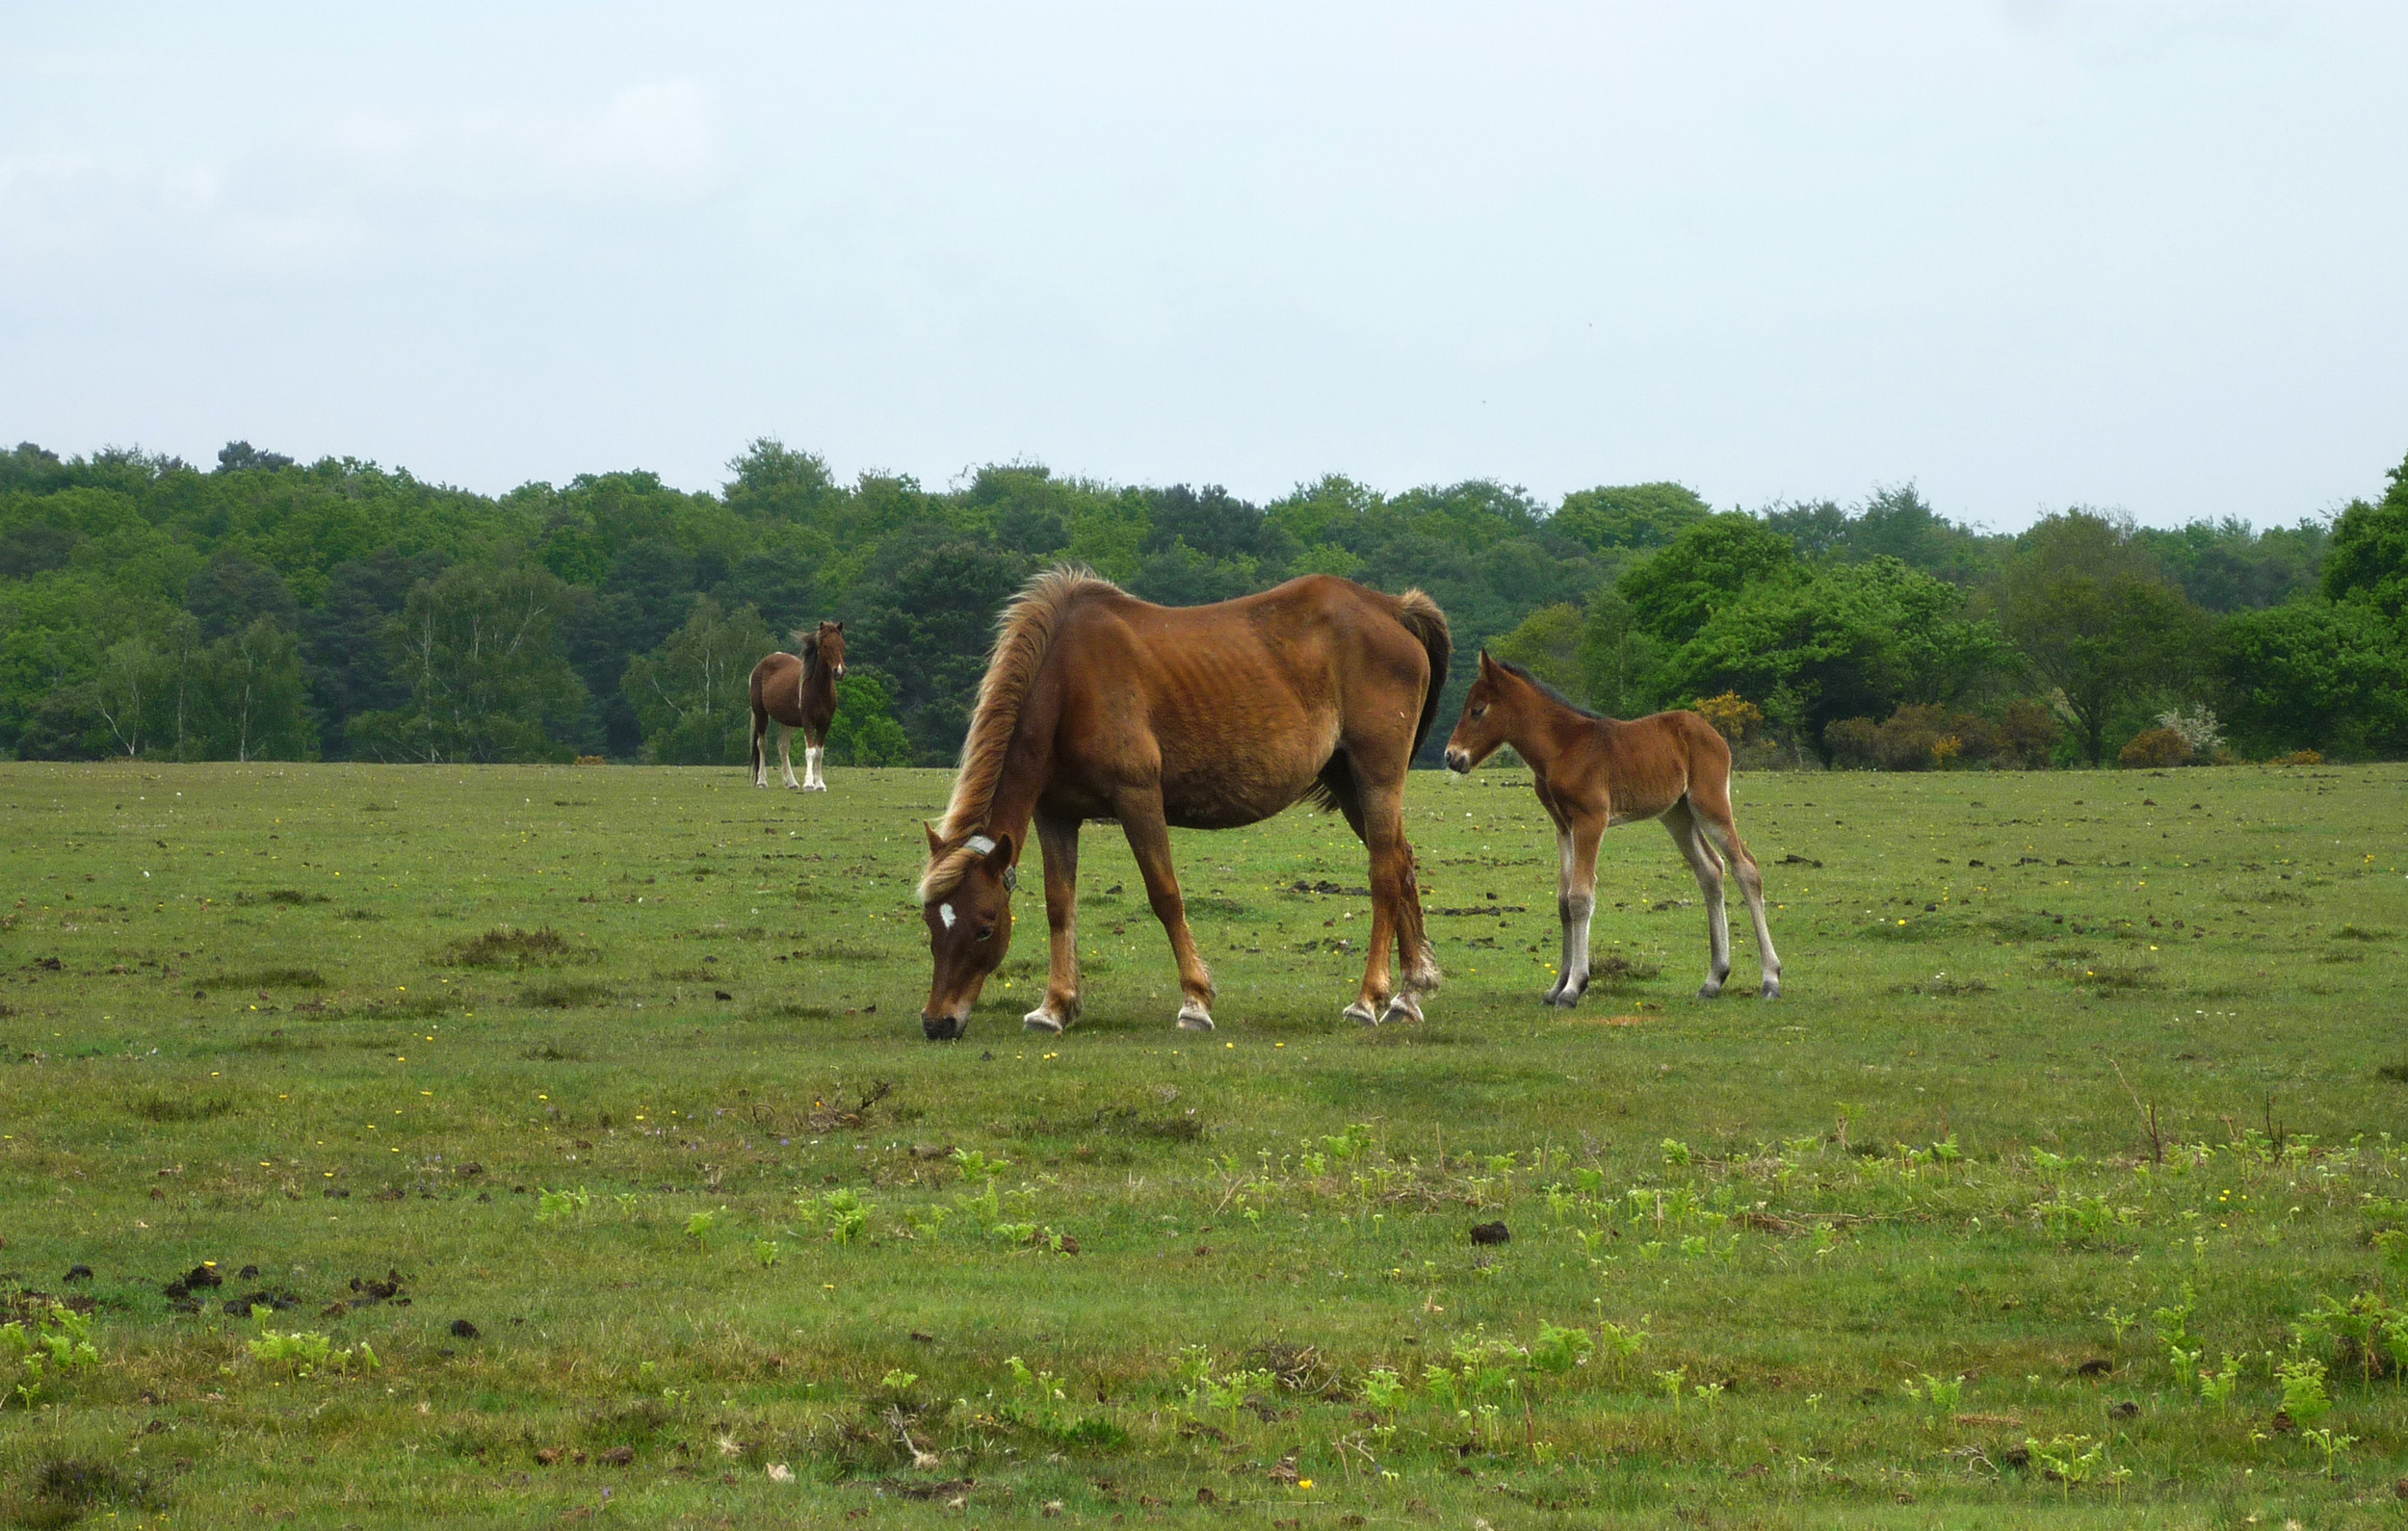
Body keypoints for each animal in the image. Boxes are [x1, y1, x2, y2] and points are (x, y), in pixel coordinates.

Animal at [748, 621, 846, 790]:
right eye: (825, 645)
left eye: (842, 644)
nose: (839, 671)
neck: (818, 689)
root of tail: (760, 666)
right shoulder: (808, 721)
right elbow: (810, 751)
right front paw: (809, 783)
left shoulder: (825, 723)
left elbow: (819, 752)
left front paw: (820, 784)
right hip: (761, 714)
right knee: (762, 744)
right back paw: (761, 781)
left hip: (787, 721)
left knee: (783, 746)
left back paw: (791, 782)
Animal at [915, 566, 1452, 1041]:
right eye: (931, 923)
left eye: (985, 928)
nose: (938, 1023)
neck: (1069, 681)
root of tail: (1392, 608)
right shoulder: (1056, 815)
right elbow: (1059, 906)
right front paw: (1055, 1007)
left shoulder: (1138, 799)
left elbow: (1165, 895)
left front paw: (1195, 1002)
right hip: (1349, 785)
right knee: (1401, 862)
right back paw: (1408, 994)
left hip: (1376, 779)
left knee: (1384, 874)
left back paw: (1369, 999)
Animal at [1442, 651, 1781, 1002]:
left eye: (1478, 710)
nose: (1452, 756)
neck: (1563, 747)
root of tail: (1712, 733)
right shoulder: (1563, 827)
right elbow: (1563, 900)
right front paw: (1557, 985)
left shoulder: (1591, 819)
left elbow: (1580, 896)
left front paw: (1574, 987)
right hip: (1677, 815)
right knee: (1711, 871)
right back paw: (1714, 979)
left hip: (1710, 805)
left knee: (1745, 868)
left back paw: (1770, 980)